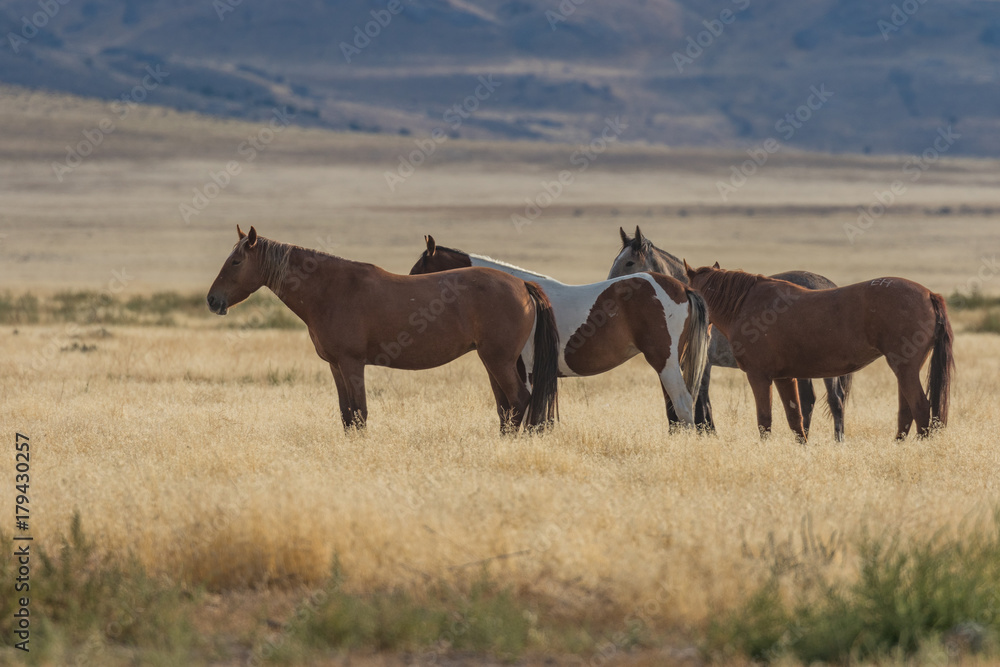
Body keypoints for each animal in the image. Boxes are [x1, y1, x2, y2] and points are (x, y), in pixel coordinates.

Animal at [206, 227, 560, 436]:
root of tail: (522, 285)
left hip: (499, 361)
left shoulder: (352, 364)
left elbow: (360, 414)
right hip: (493, 361)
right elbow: (346, 415)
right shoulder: (336, 366)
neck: (331, 289)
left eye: (236, 261)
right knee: (507, 408)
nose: (212, 299)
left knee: (519, 400)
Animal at [608, 227, 852, 440]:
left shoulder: (702, 363)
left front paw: (707, 434)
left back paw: (837, 440)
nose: (609, 287)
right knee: (808, 400)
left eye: (629, 262)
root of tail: (827, 285)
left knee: (835, 400)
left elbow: (701, 401)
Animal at [684, 262, 956, 444]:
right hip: (903, 368)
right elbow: (795, 418)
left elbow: (764, 420)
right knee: (906, 410)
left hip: (905, 368)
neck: (745, 303)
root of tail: (929, 294)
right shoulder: (785, 377)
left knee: (920, 407)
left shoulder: (759, 376)